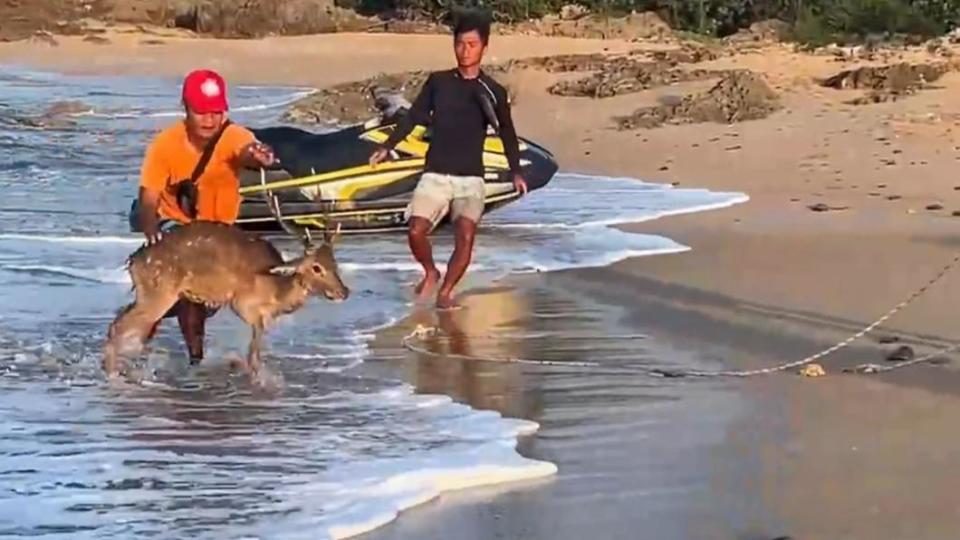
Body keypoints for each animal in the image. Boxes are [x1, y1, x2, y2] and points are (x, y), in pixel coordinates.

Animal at [103, 174, 350, 380]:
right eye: (316, 267)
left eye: (335, 263)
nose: (344, 291)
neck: (276, 291)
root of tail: (132, 261)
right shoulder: (244, 305)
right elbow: (253, 356)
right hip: (159, 294)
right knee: (120, 326)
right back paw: (114, 374)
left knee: (121, 320)